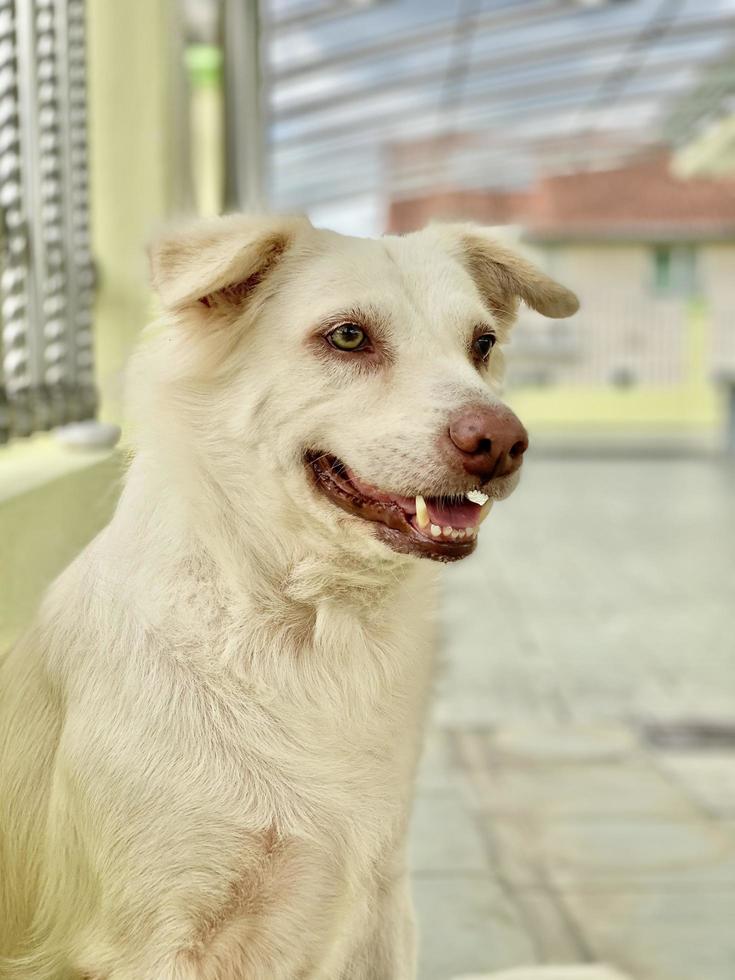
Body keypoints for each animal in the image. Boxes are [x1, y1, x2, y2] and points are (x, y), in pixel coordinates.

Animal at [0, 216, 576, 980]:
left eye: (480, 345)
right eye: (349, 337)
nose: (503, 440)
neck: (304, 624)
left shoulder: (378, 907)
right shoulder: (150, 939)